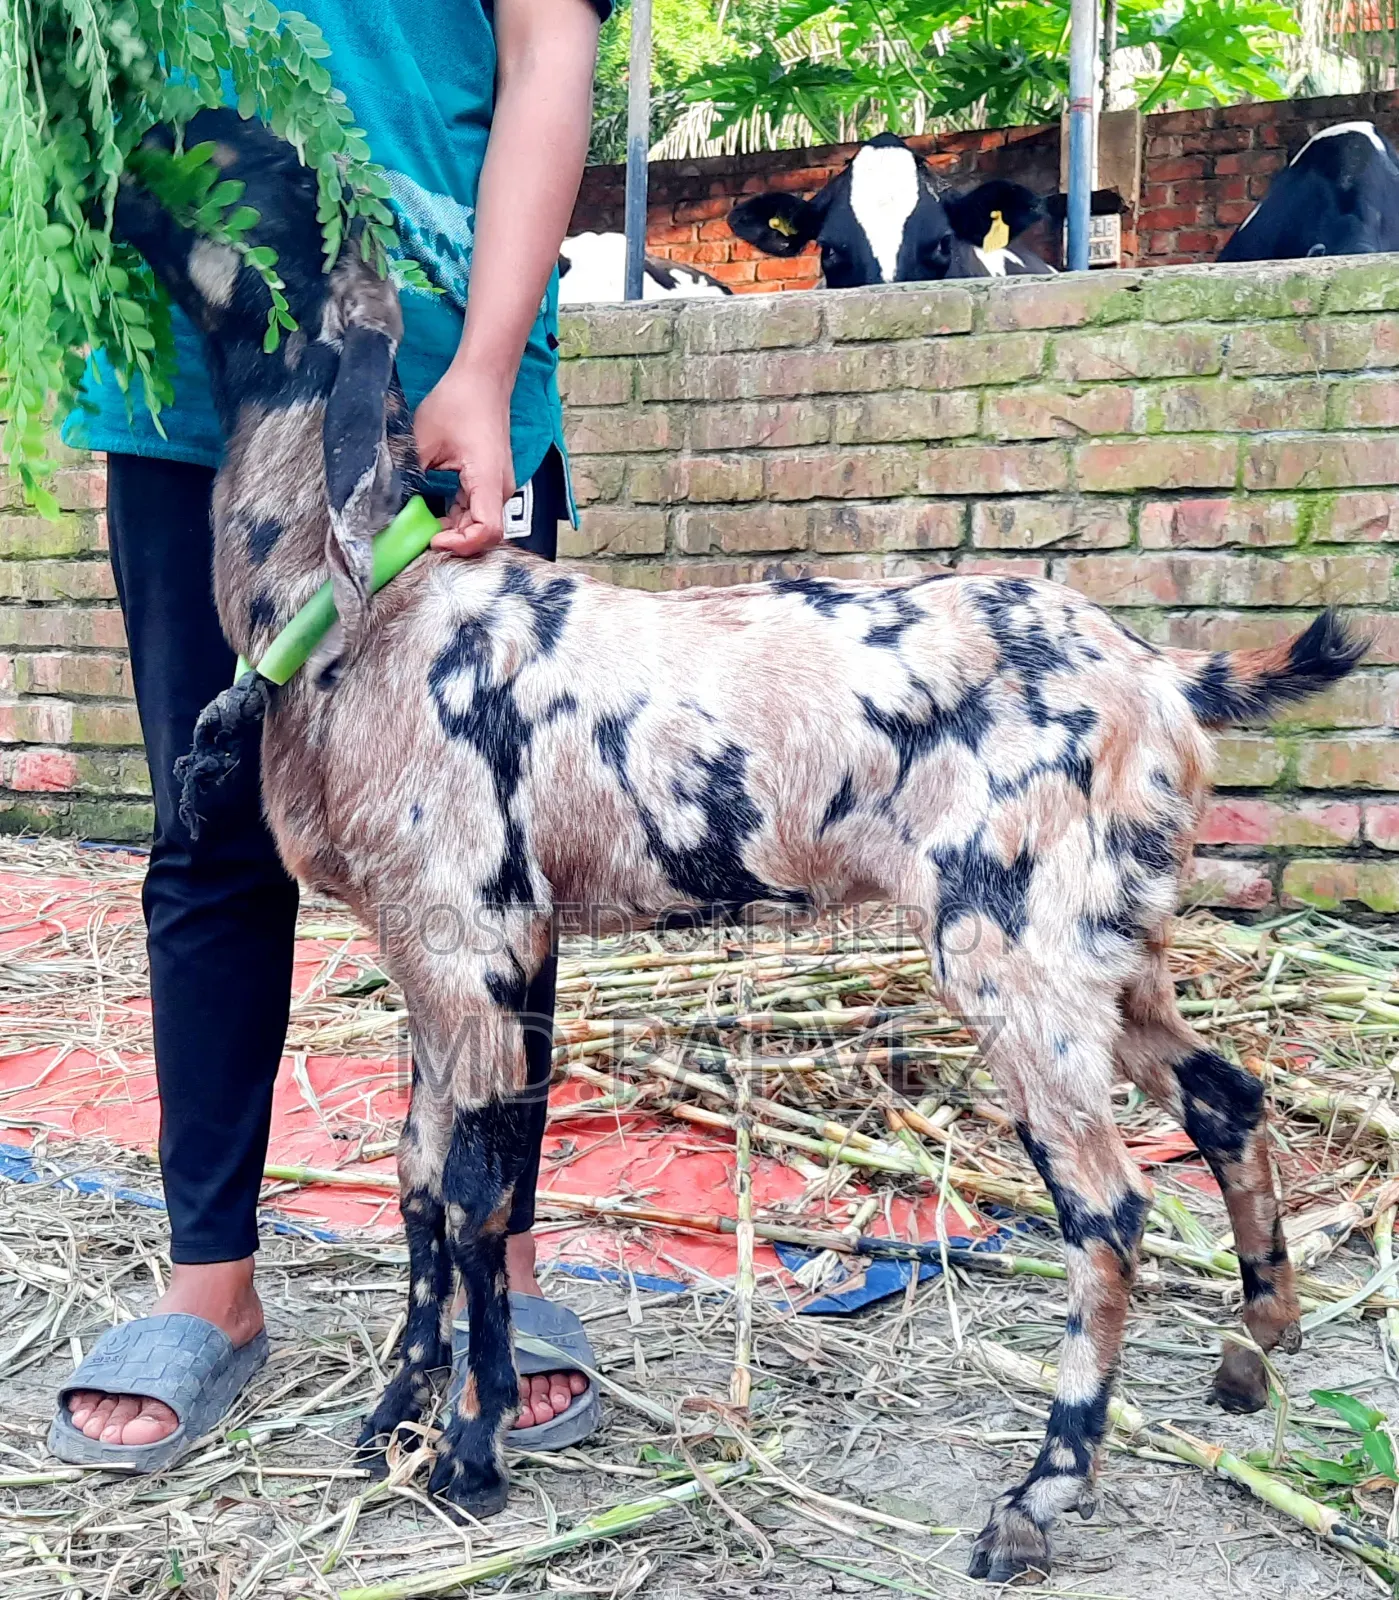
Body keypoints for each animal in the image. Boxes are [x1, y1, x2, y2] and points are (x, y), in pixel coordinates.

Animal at [116, 109, 1363, 1578]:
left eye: (235, 171)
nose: (119, 151)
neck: (372, 606)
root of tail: (1162, 677)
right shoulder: (429, 951)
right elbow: (420, 1187)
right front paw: (391, 1420)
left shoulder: (475, 938)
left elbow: (476, 1200)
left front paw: (472, 1454)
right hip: (1111, 937)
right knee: (1225, 1096)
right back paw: (1257, 1341)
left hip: (1014, 949)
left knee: (1107, 1213)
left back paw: (1040, 1493)